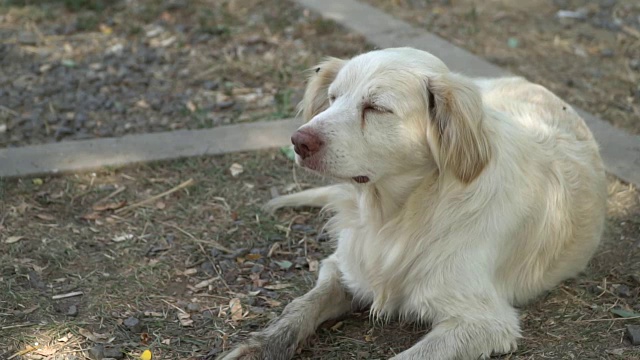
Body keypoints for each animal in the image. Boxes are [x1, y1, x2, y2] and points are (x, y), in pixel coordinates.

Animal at [218, 47, 608, 360]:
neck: (396, 217)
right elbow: (299, 308)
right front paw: (257, 346)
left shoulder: (484, 321)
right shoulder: (343, 269)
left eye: (376, 108)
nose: (298, 141)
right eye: (332, 98)